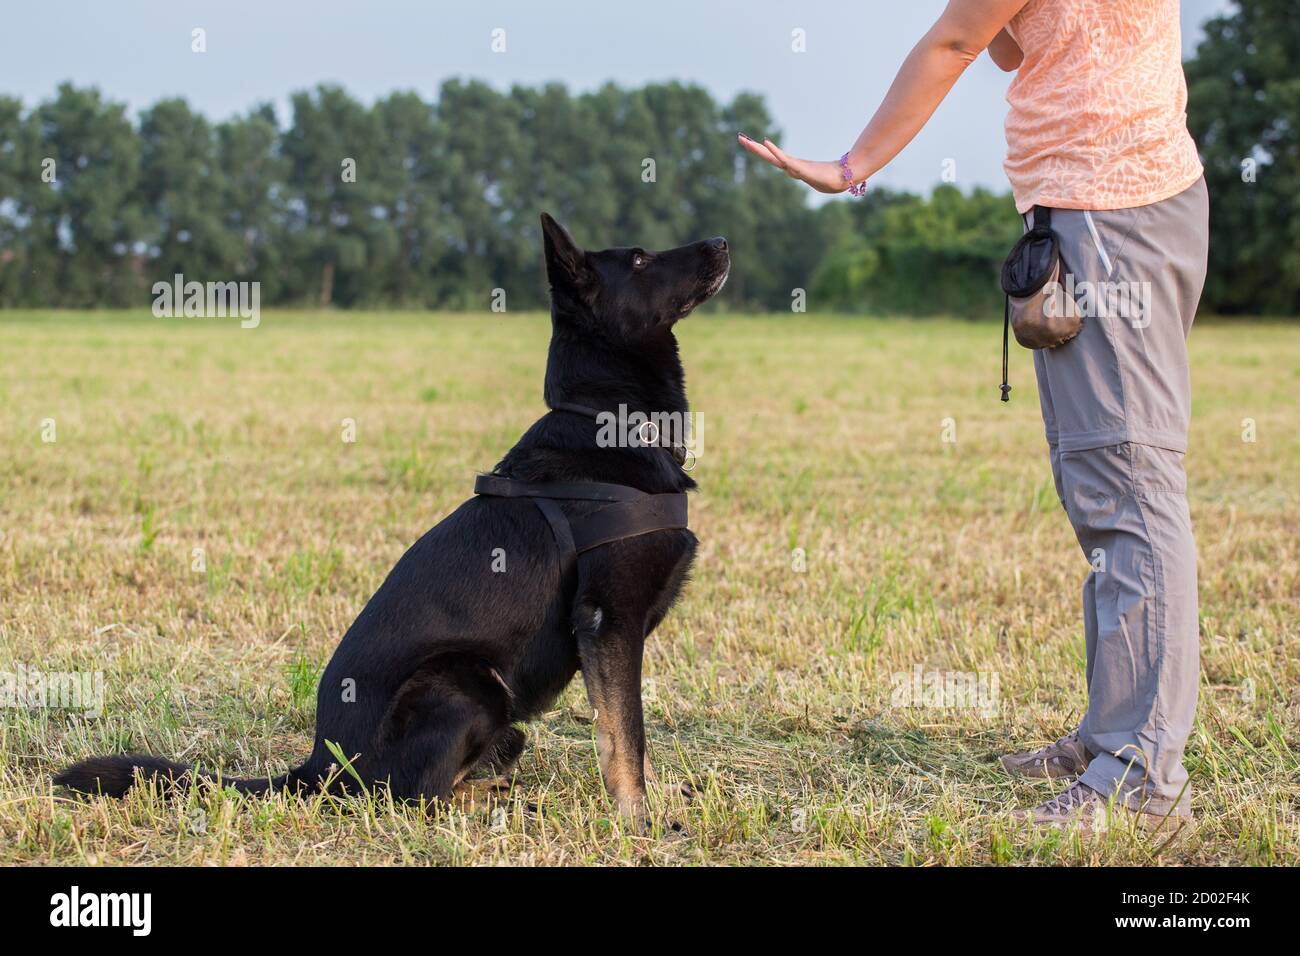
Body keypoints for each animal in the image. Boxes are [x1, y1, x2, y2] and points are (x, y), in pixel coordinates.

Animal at [58, 214, 733, 822]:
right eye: (641, 259)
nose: (722, 241)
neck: (606, 417)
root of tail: (318, 767)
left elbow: (625, 732)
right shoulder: (607, 622)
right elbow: (626, 734)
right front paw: (638, 820)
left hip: (500, 714)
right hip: (469, 682)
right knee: (413, 797)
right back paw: (503, 805)